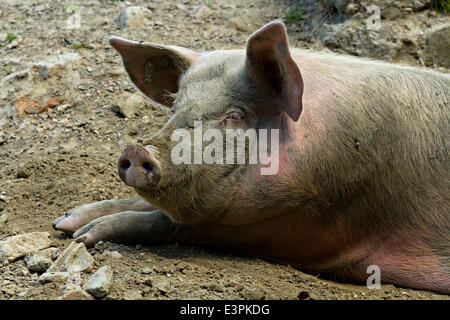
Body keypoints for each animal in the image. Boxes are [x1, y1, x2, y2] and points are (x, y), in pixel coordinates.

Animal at [52, 21, 450, 294]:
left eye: (234, 115)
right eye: (176, 106)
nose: (137, 151)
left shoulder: (310, 223)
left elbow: (175, 223)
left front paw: (85, 235)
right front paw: (66, 221)